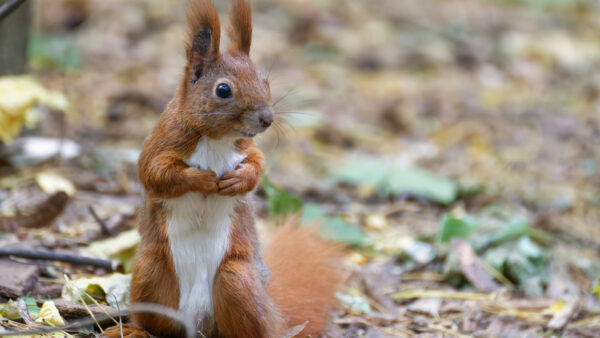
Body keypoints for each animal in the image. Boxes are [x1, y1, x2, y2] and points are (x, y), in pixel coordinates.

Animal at [101, 1, 344, 336]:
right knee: (156, 324)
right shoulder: (160, 145)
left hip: (236, 280)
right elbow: (156, 174)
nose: (267, 119)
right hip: (151, 274)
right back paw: (135, 330)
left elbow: (257, 167)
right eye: (224, 90)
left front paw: (238, 180)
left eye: (265, 81)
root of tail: (198, 323)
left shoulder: (248, 148)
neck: (217, 138)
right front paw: (202, 179)